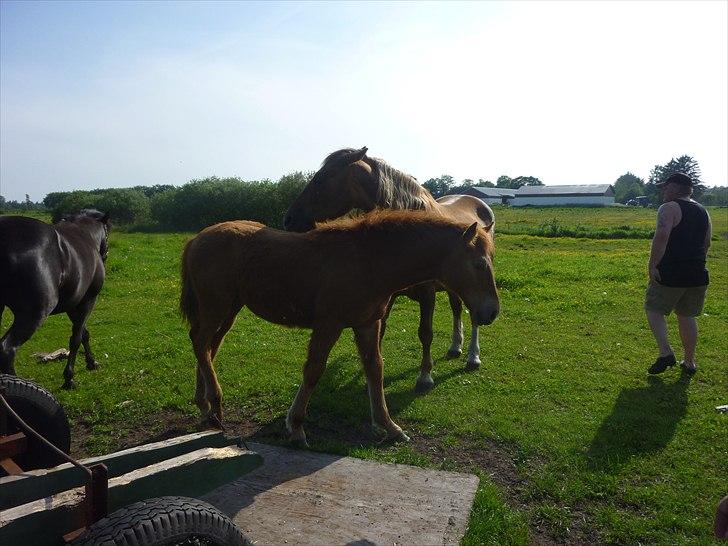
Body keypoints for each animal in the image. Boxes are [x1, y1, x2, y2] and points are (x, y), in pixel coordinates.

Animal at [0, 208, 111, 386]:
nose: (105, 255)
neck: (85, 235)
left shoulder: (73, 305)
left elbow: (84, 334)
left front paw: (91, 362)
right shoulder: (87, 302)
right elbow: (76, 339)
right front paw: (69, 377)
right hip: (33, 314)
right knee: (7, 350)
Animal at [179, 208, 498, 442]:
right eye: (480, 264)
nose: (491, 312)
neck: (368, 260)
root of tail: (196, 240)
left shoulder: (367, 324)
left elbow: (375, 369)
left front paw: (390, 426)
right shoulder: (328, 325)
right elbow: (313, 371)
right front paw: (296, 426)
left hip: (229, 310)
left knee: (207, 347)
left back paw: (204, 404)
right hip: (216, 308)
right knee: (200, 342)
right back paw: (214, 403)